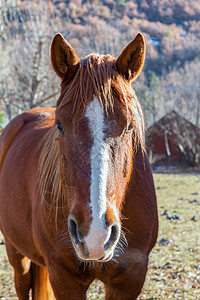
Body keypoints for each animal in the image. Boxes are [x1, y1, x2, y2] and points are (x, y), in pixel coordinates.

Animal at [0, 32, 158, 300]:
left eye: (129, 126)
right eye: (60, 125)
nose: (95, 234)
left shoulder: (130, 277)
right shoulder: (64, 276)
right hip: (15, 251)